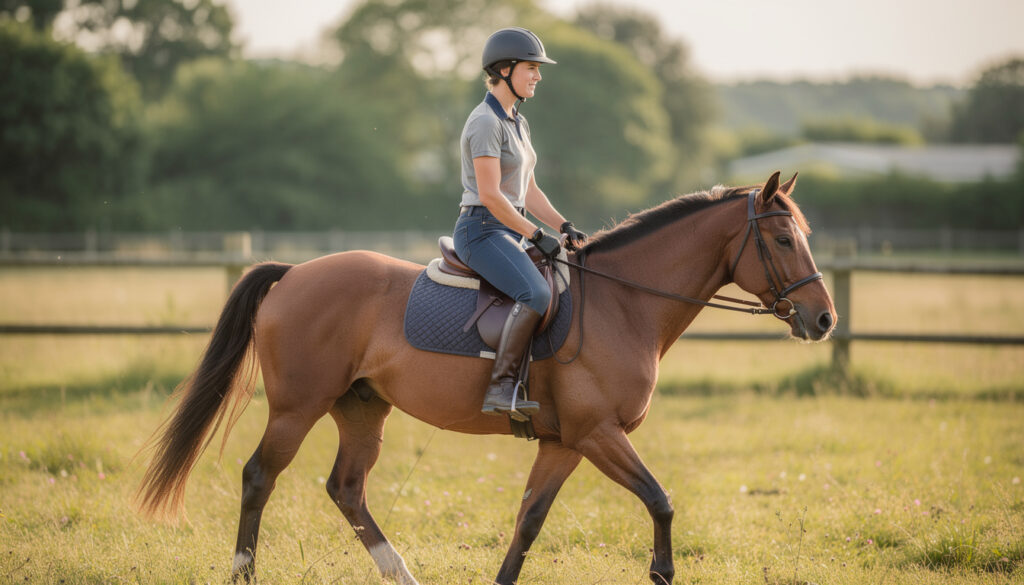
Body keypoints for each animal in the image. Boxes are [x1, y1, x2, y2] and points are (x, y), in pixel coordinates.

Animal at [137, 171, 836, 585]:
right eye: (781, 238)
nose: (824, 318)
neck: (624, 303)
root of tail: (294, 273)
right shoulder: (598, 434)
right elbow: (660, 500)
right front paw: (662, 571)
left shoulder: (564, 443)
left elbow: (528, 521)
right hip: (296, 408)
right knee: (260, 477)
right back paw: (244, 573)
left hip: (361, 409)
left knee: (347, 489)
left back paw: (401, 574)